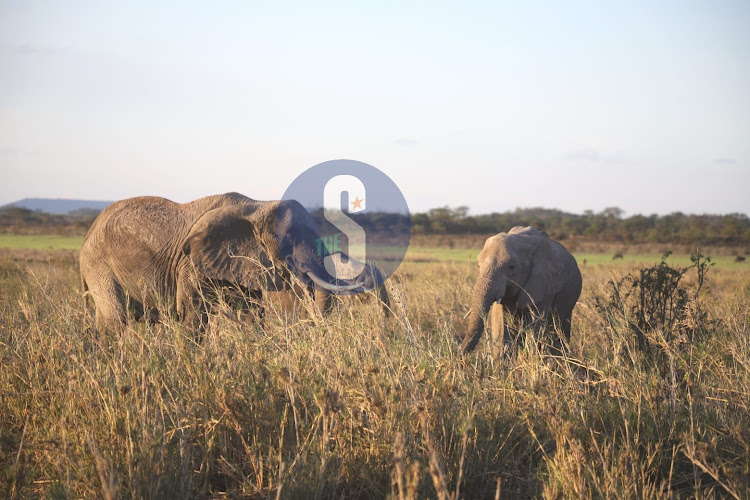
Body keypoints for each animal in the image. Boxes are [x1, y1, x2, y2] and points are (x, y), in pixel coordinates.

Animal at [82, 193, 364, 330]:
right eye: (290, 239)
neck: (256, 206)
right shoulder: (190, 263)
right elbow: (192, 315)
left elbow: (253, 314)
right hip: (98, 265)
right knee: (116, 320)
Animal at [462, 227, 584, 360]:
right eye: (478, 265)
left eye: (512, 267)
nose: (459, 355)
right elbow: (501, 323)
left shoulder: (544, 285)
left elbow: (535, 323)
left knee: (560, 329)